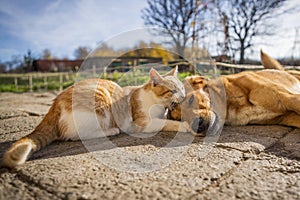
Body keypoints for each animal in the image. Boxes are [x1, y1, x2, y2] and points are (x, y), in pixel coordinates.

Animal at [2, 66, 190, 168]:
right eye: (172, 90)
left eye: (182, 88)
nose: (183, 96)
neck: (158, 104)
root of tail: (55, 102)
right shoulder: (141, 124)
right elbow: (165, 123)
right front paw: (184, 126)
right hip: (100, 103)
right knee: (74, 135)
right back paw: (111, 131)